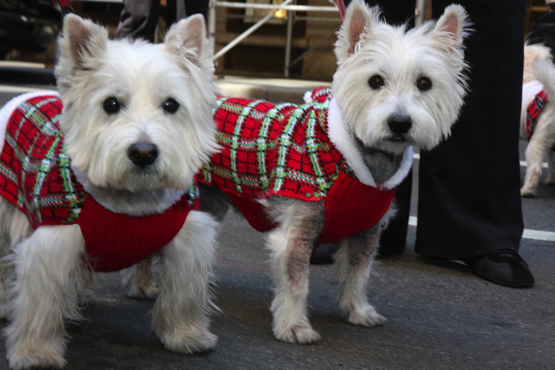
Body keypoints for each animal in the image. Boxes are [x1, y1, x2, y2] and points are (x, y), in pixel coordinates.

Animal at [0, 13, 222, 368]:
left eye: (171, 105)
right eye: (111, 104)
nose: (144, 153)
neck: (131, 203)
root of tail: (25, 94)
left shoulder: (188, 240)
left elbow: (184, 294)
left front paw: (186, 336)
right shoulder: (50, 246)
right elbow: (40, 308)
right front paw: (35, 353)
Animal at [195, 0, 470, 344]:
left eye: (424, 83)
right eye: (375, 81)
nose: (400, 123)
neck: (352, 160)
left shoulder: (366, 231)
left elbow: (358, 273)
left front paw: (358, 311)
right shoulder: (298, 227)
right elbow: (296, 282)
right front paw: (293, 326)